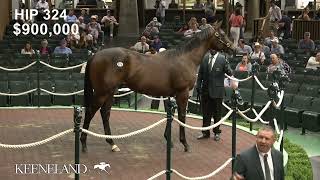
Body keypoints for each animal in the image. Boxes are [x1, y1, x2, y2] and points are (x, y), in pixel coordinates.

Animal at [80, 21, 235, 153]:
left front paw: (169, 140)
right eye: (221, 34)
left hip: (110, 92)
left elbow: (170, 115)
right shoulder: (182, 93)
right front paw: (184, 143)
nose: (233, 48)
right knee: (90, 112)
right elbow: (182, 116)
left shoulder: (169, 95)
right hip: (102, 92)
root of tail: (95, 56)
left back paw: (112, 144)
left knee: (105, 113)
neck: (185, 58)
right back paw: (83, 143)